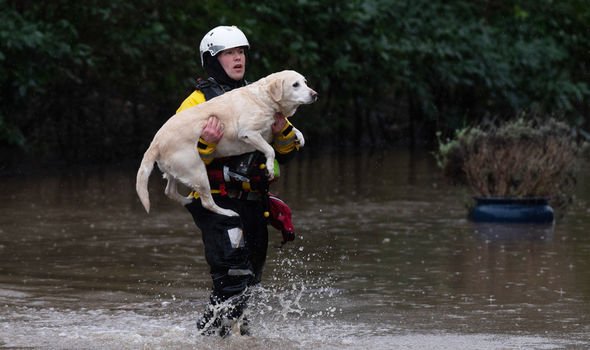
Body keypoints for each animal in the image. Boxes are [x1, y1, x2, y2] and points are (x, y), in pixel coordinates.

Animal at [136, 69, 320, 216]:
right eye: (295, 85)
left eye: (305, 82)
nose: (315, 94)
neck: (265, 99)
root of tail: (155, 142)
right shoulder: (248, 133)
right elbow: (270, 150)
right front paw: (269, 167)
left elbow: (292, 129)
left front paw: (299, 137)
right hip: (197, 171)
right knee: (207, 203)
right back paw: (228, 212)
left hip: (176, 170)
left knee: (170, 191)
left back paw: (188, 202)